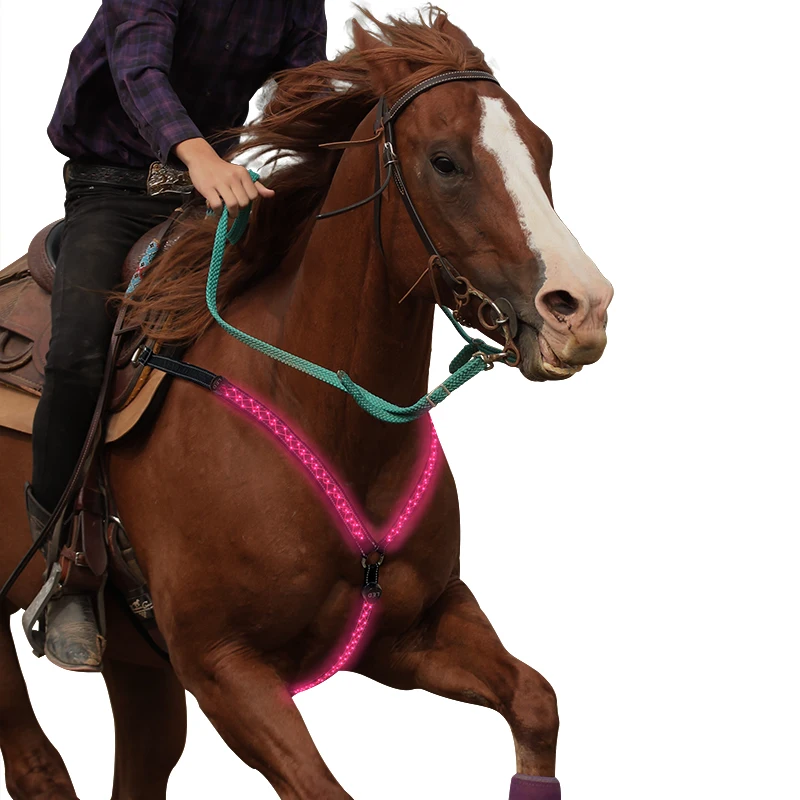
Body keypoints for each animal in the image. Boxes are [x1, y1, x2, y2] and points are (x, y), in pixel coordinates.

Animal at [0, 9, 612, 799]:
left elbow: (536, 699)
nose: (582, 308)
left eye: (543, 150)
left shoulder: (409, 631)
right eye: (446, 161)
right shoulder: (224, 668)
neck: (323, 416)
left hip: (138, 664)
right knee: (37, 764)